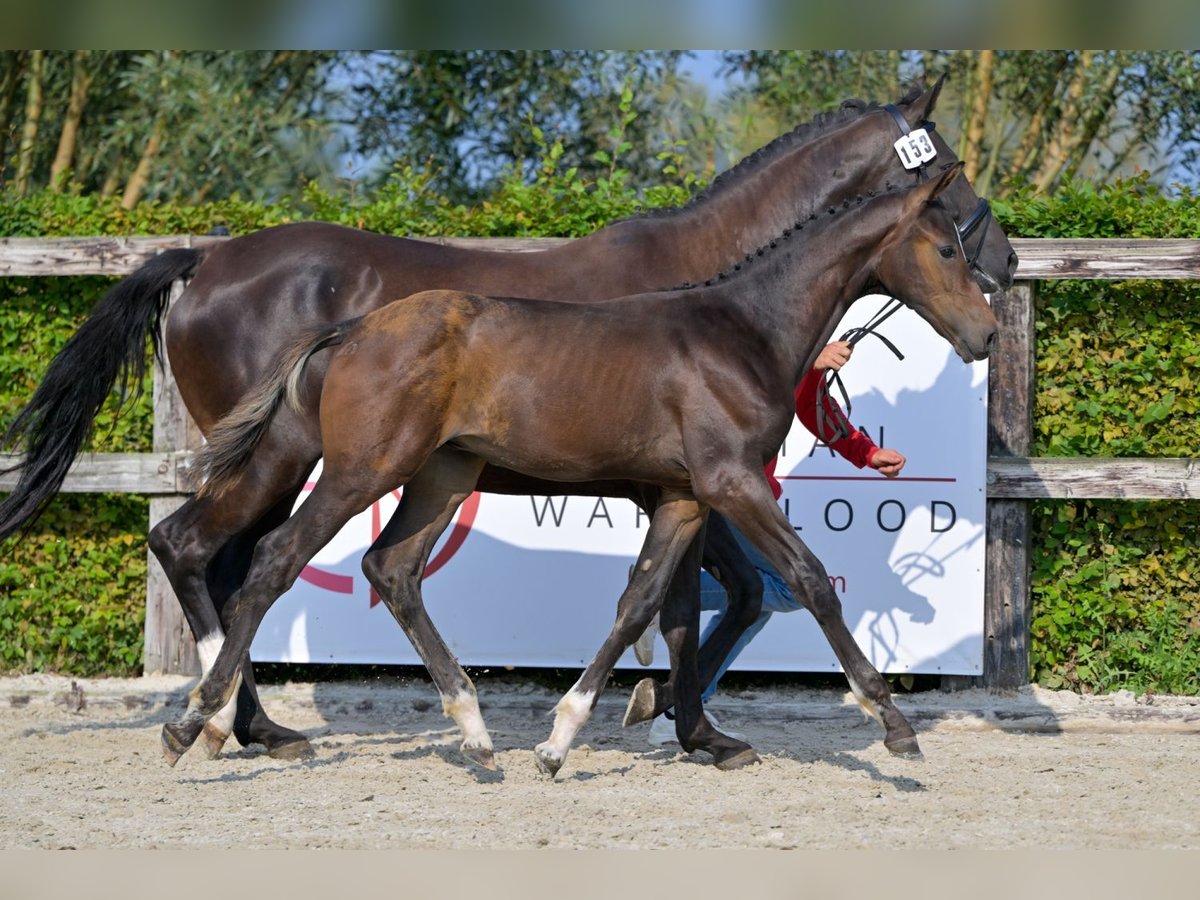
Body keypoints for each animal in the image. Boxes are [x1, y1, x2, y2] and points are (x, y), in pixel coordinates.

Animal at [0, 81, 1017, 763]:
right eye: (950, 169)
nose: (1002, 271)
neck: (718, 290)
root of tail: (202, 261)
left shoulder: (678, 488)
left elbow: (701, 599)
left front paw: (672, 718)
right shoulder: (700, 483)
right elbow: (726, 596)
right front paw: (681, 719)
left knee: (231, 555)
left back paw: (256, 724)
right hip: (308, 465)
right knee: (218, 556)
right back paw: (221, 720)